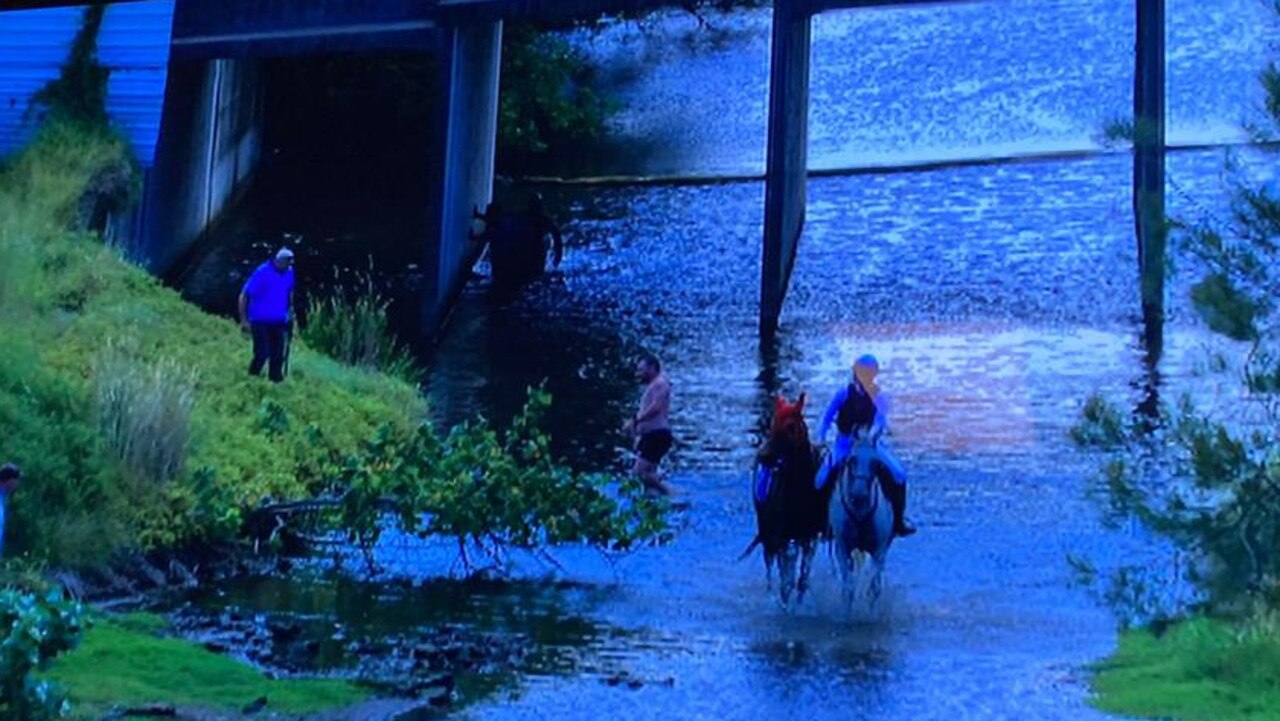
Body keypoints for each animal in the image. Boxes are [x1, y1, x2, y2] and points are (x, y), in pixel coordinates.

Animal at [742, 396, 829, 607]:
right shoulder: (780, 535)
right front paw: (784, 601)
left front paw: (799, 596)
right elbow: (785, 577)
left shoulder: (808, 536)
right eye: (773, 424)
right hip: (768, 531)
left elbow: (802, 575)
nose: (764, 455)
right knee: (770, 564)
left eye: (791, 427)